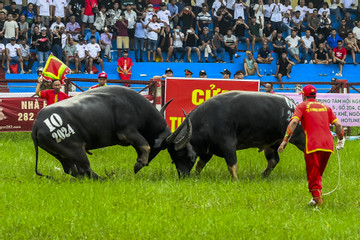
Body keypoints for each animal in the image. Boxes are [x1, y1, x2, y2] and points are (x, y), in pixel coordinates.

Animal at [32, 86, 193, 178]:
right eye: (176, 153)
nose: (184, 173)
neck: (136, 107)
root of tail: (37, 124)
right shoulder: (128, 132)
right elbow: (144, 145)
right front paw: (138, 165)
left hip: (61, 154)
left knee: (73, 170)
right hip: (76, 150)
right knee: (84, 168)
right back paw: (104, 178)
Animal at [170, 90, 306, 180]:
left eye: (182, 155)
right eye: (173, 158)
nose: (182, 176)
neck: (208, 119)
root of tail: (293, 106)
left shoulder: (228, 144)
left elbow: (232, 165)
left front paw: (235, 180)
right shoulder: (208, 150)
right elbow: (200, 165)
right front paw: (196, 176)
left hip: (300, 138)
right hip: (272, 145)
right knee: (273, 161)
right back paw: (262, 176)